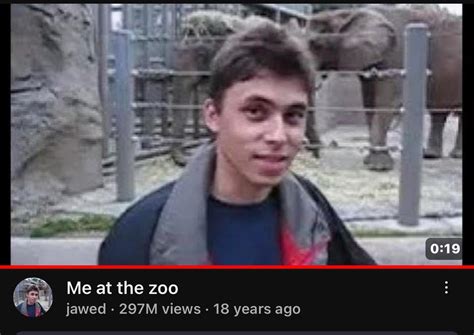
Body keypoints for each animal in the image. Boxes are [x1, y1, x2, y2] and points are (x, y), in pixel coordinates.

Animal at [306, 5, 462, 171]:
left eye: (316, 44)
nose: (317, 154)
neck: (351, 13)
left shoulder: (396, 57)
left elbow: (386, 102)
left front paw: (378, 167)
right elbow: (369, 102)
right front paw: (370, 163)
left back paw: (454, 155)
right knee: (440, 111)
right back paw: (431, 156)